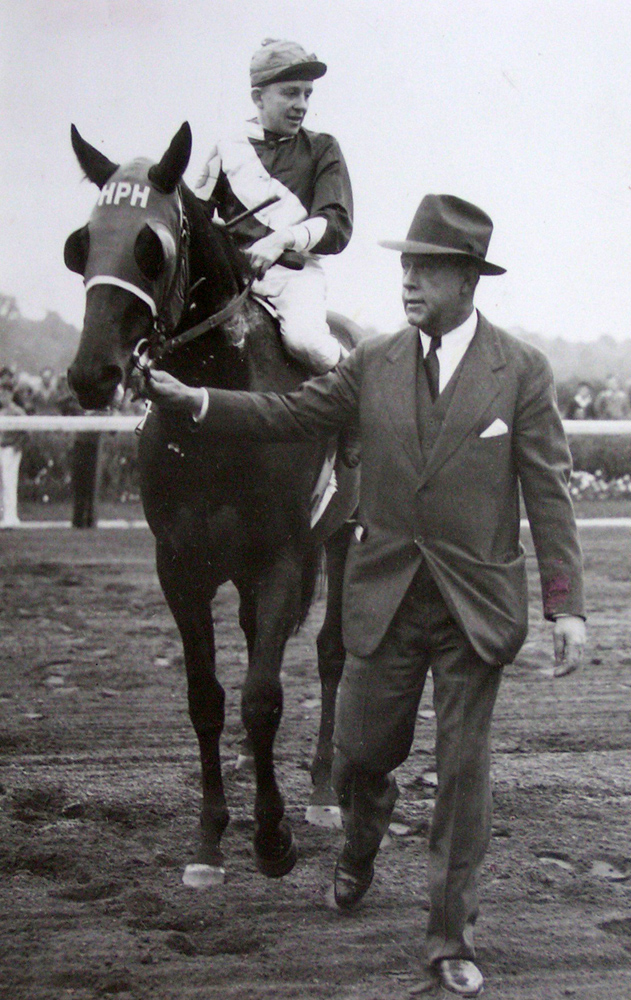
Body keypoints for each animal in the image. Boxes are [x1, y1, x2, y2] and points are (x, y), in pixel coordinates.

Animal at [65, 123, 360, 884]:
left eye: (151, 245)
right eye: (83, 242)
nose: (91, 372)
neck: (221, 408)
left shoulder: (281, 555)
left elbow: (262, 696)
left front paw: (273, 837)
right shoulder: (180, 564)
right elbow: (207, 698)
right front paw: (208, 840)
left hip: (342, 538)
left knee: (329, 654)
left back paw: (323, 791)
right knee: (262, 643)